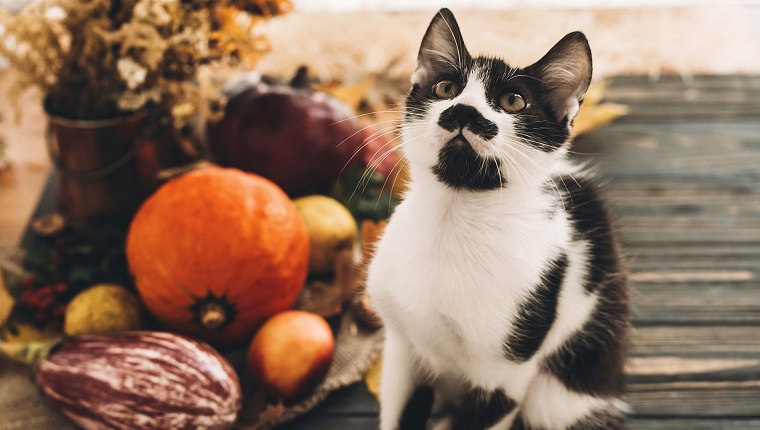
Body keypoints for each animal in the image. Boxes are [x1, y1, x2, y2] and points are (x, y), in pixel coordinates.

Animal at [366, 7, 632, 430]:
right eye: (445, 88)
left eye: (513, 101)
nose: (463, 110)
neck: (454, 220)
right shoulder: (401, 351)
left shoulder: (505, 373)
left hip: (560, 392)